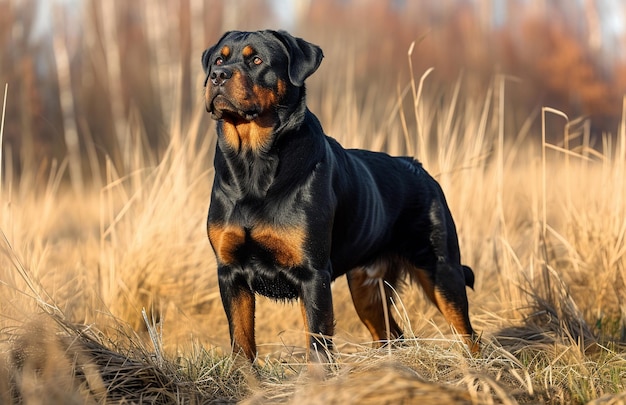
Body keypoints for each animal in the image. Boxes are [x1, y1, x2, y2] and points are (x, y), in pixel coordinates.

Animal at [202, 30, 476, 362]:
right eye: (218, 60)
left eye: (256, 60)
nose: (217, 76)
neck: (252, 163)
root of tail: (419, 168)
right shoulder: (230, 273)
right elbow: (242, 344)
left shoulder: (313, 274)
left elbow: (318, 346)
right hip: (365, 285)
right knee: (391, 334)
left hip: (441, 269)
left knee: (468, 333)